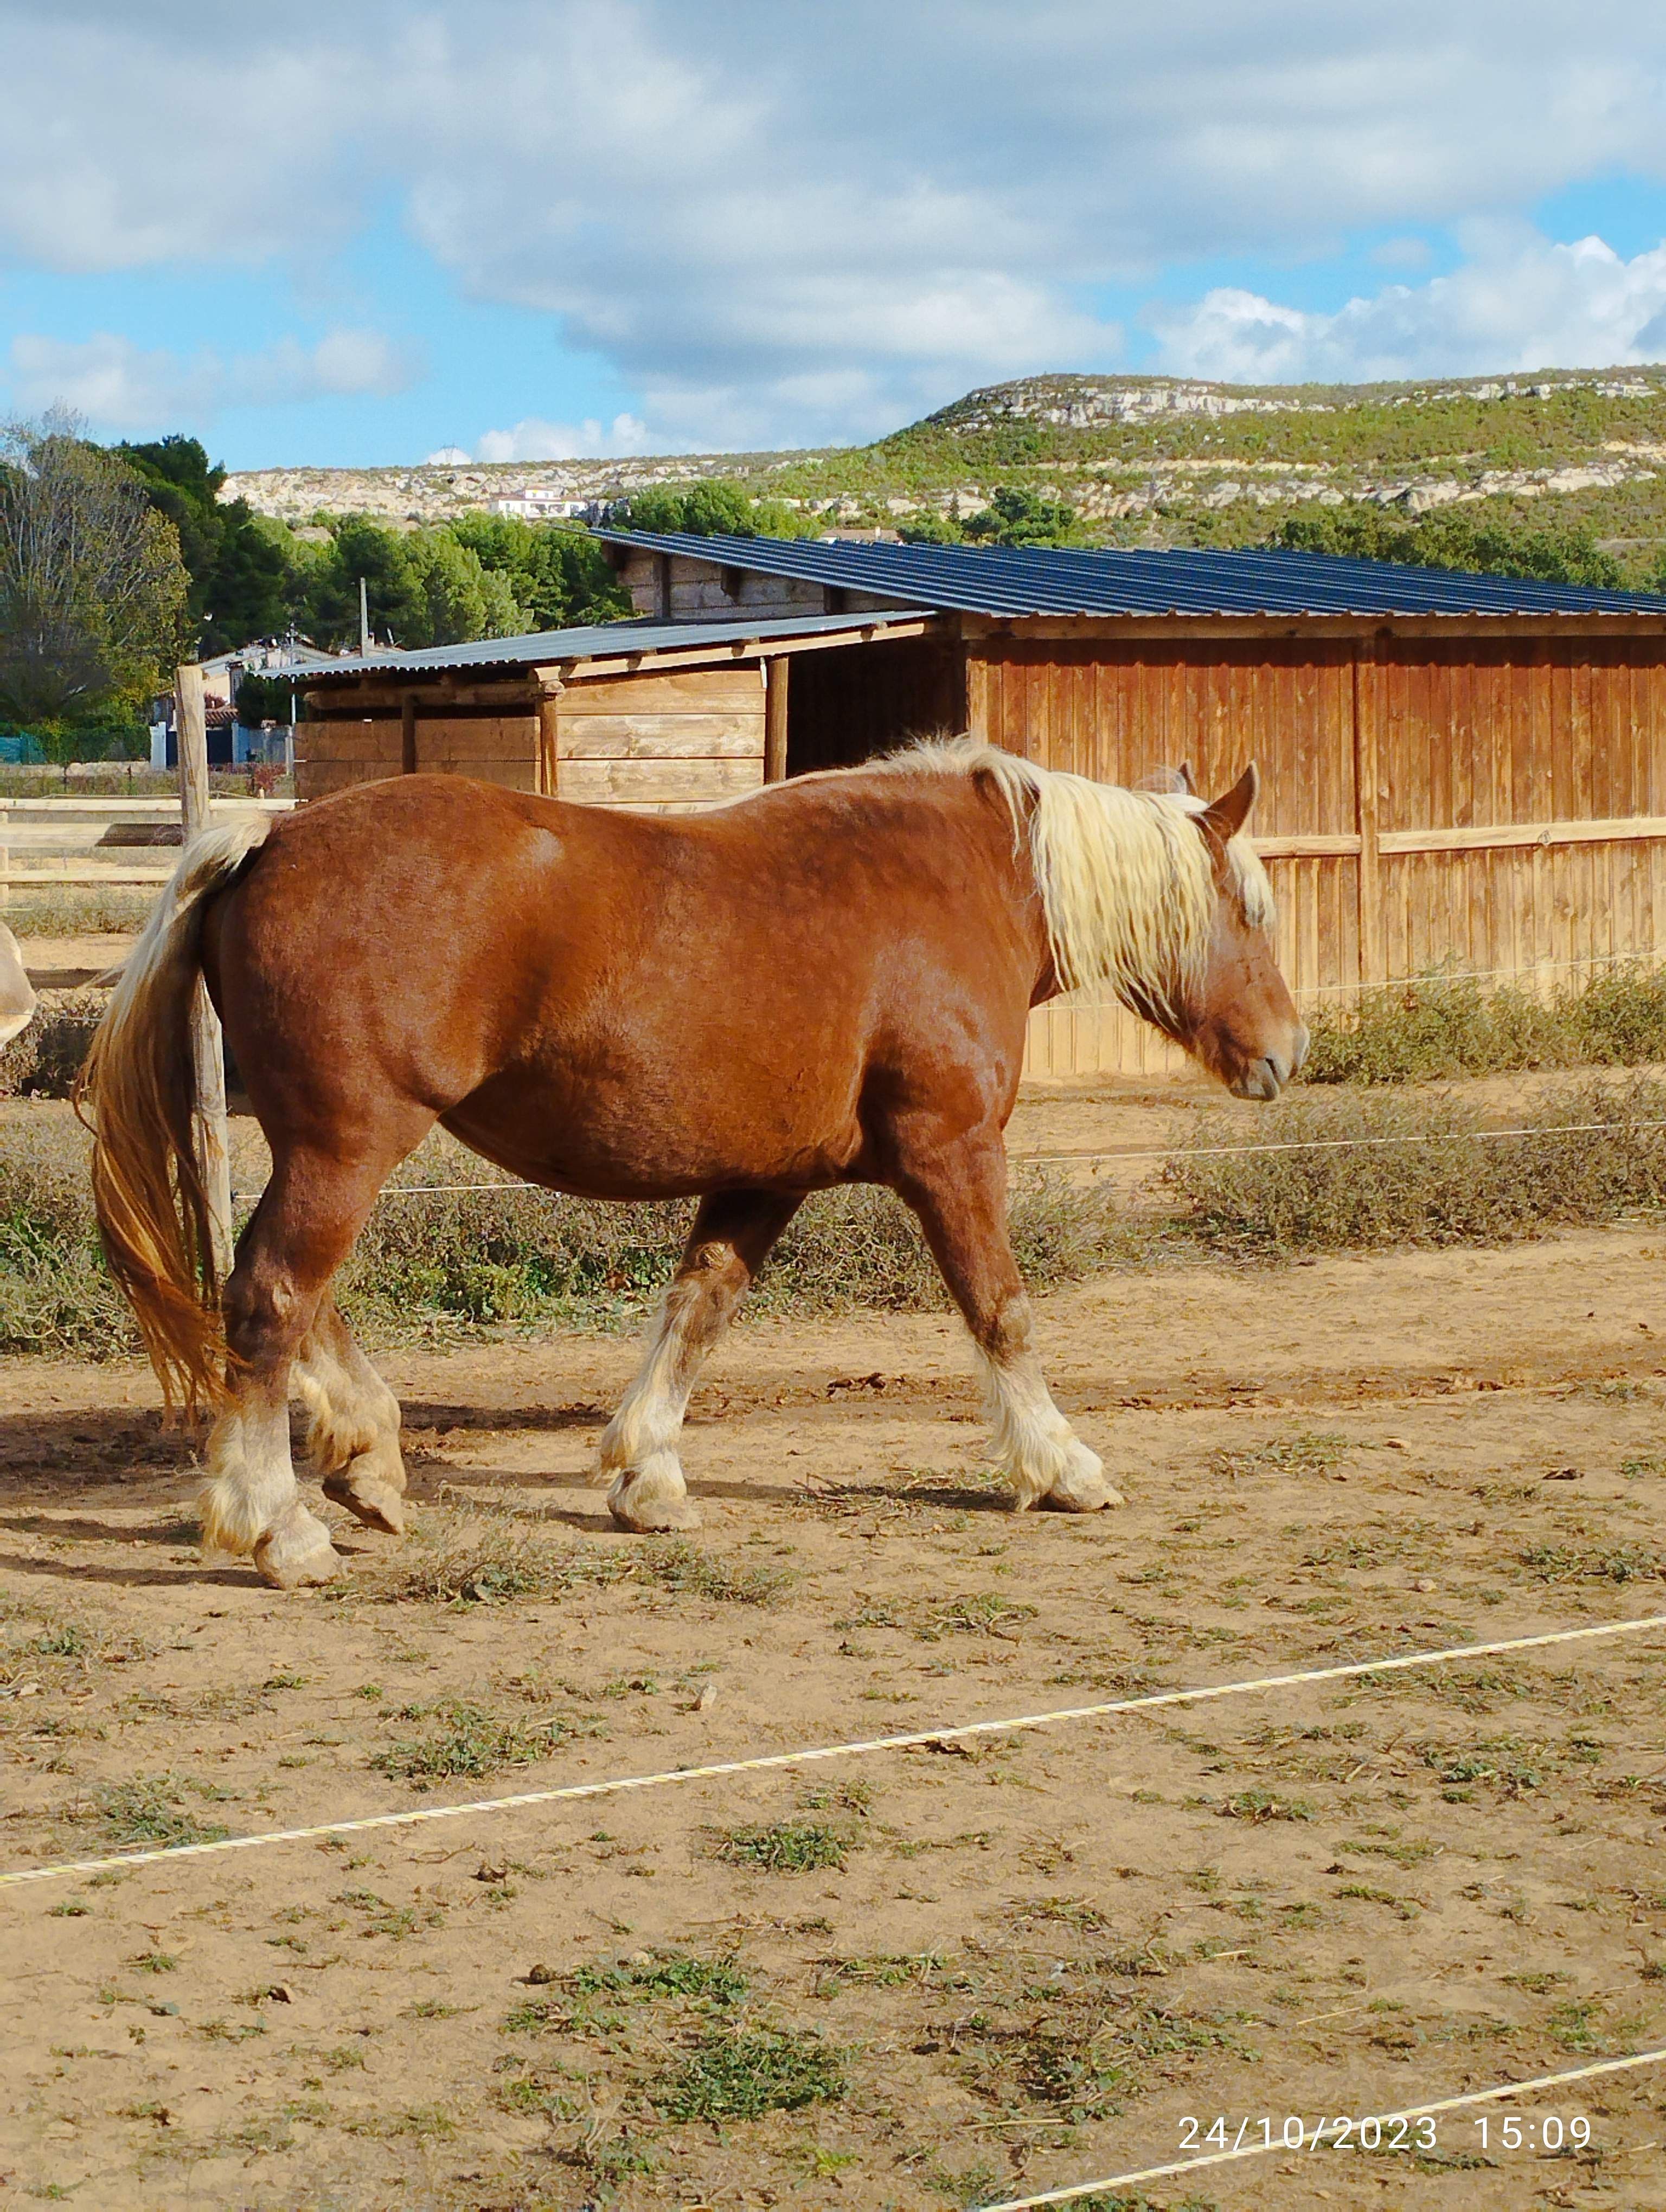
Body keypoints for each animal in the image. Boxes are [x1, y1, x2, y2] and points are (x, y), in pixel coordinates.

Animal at [79, 739, 1306, 1591]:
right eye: (1249, 909)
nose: (1288, 1054)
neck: (963, 888)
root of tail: (271, 841)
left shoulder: (768, 1176)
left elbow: (698, 1310)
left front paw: (647, 1476)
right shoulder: (952, 1155)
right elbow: (1002, 1313)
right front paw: (1062, 1466)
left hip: (327, 1146)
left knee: (295, 1297)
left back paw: (368, 1460)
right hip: (348, 1145)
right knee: (272, 1297)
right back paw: (278, 1527)